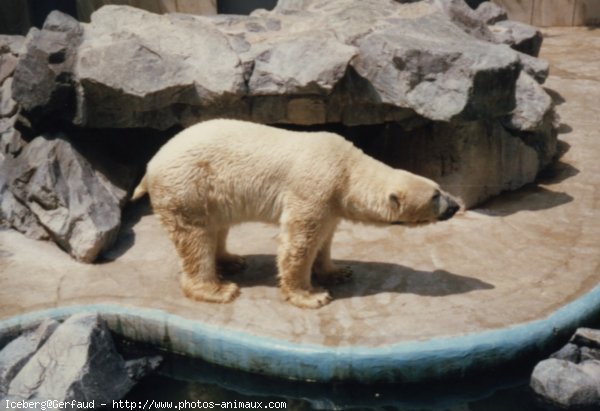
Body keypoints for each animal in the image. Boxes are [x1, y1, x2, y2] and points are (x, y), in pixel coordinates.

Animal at [132, 119, 460, 308]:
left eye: (439, 188)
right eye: (436, 195)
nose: (456, 205)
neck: (346, 169)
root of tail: (150, 166)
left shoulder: (331, 202)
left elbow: (325, 237)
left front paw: (337, 271)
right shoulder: (313, 187)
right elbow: (299, 242)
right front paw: (311, 295)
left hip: (209, 194)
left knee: (217, 227)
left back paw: (232, 260)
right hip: (188, 187)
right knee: (195, 238)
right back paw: (218, 290)